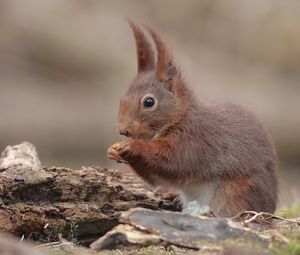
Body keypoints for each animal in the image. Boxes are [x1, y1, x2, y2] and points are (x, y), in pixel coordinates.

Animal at [106, 21, 278, 217]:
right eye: (123, 96)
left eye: (149, 102)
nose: (123, 130)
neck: (181, 117)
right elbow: (158, 177)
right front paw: (113, 150)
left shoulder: (196, 139)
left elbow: (174, 162)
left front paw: (132, 146)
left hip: (237, 192)